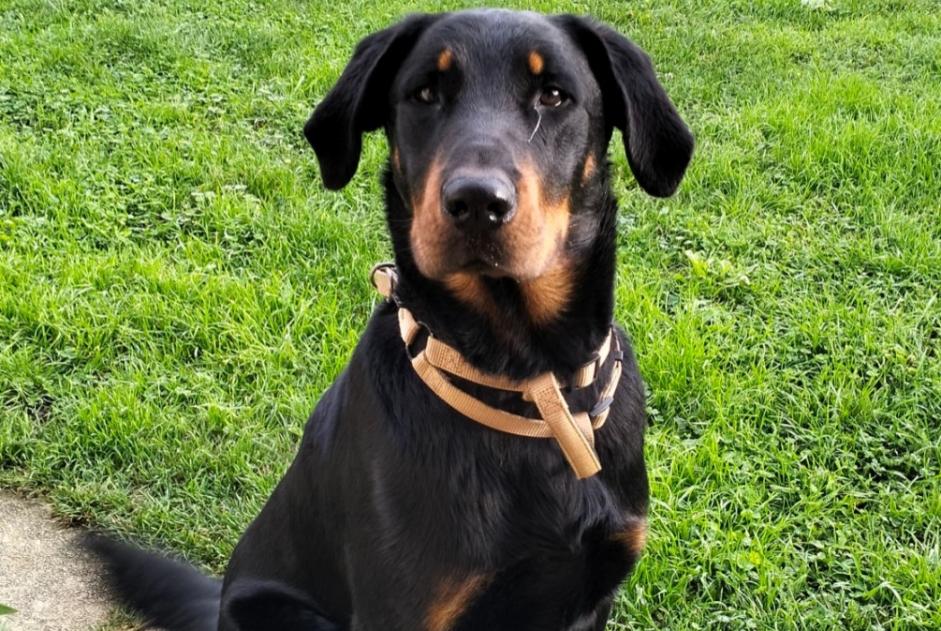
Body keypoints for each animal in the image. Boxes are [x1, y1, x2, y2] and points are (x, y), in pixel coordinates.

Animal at [86, 9, 692, 631]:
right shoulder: (403, 609)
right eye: (424, 93)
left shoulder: (591, 596)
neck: (528, 385)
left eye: (554, 95)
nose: (477, 202)